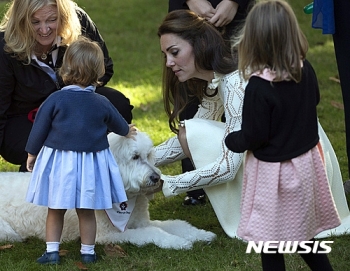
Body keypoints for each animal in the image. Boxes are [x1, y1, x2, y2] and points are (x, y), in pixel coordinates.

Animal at [0, 132, 216, 251]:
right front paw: (178, 242)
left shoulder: (141, 222)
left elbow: (176, 224)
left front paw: (201, 234)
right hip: (7, 232)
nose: (157, 178)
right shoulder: (108, 235)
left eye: (148, 155)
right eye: (135, 157)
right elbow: (154, 232)